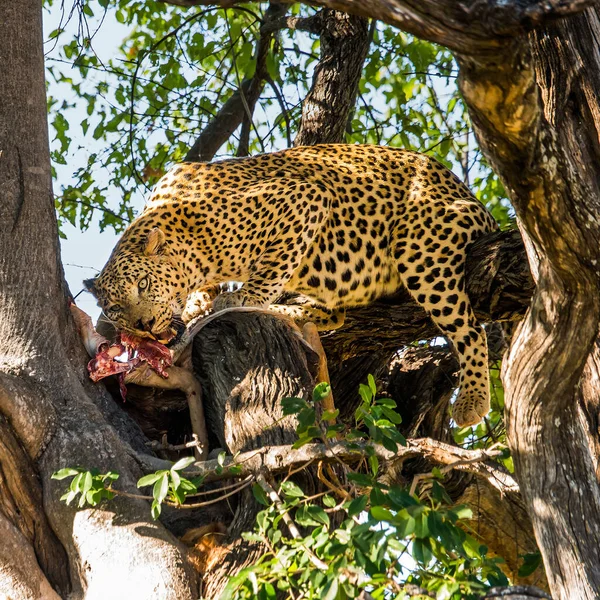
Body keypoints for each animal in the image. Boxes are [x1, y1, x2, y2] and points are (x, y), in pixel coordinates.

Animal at [84, 144, 496, 426]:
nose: (143, 325)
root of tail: (477, 203)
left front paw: (240, 296)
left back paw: (473, 399)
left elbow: (270, 268)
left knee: (470, 329)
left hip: (417, 244)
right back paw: (292, 312)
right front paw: (199, 303)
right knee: (335, 314)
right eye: (116, 309)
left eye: (142, 284)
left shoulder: (301, 199)